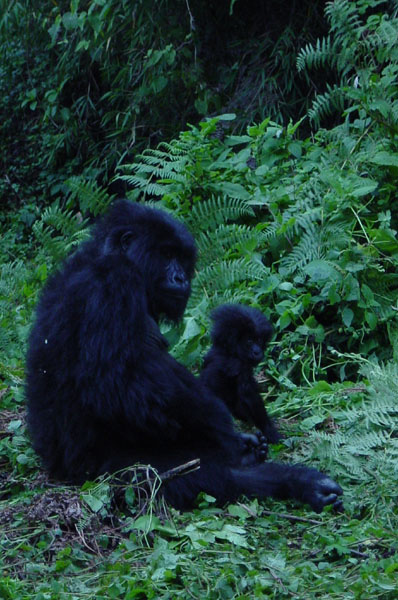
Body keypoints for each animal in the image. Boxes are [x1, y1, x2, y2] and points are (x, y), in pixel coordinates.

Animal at [201, 304, 282, 460]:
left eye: (259, 340)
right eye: (249, 341)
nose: (257, 351)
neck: (229, 351)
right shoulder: (239, 367)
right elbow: (250, 396)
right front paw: (270, 430)